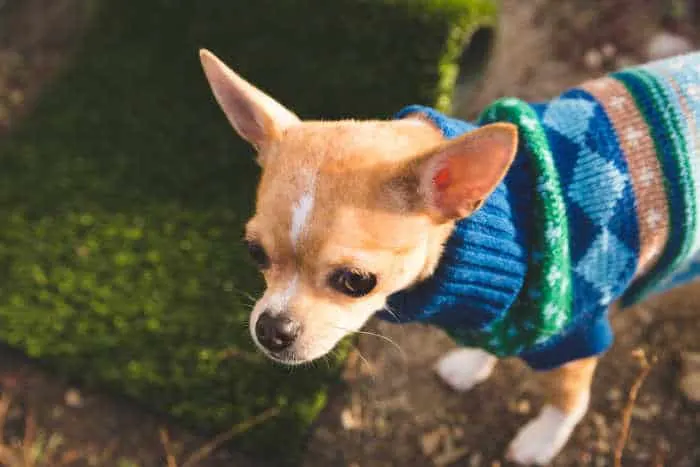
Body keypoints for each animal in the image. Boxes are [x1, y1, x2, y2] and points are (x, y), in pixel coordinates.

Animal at [197, 49, 700, 466]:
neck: (507, 221)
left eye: (357, 281)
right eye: (255, 253)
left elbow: (568, 397)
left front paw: (542, 439)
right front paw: (475, 361)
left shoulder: (573, 334)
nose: (271, 329)